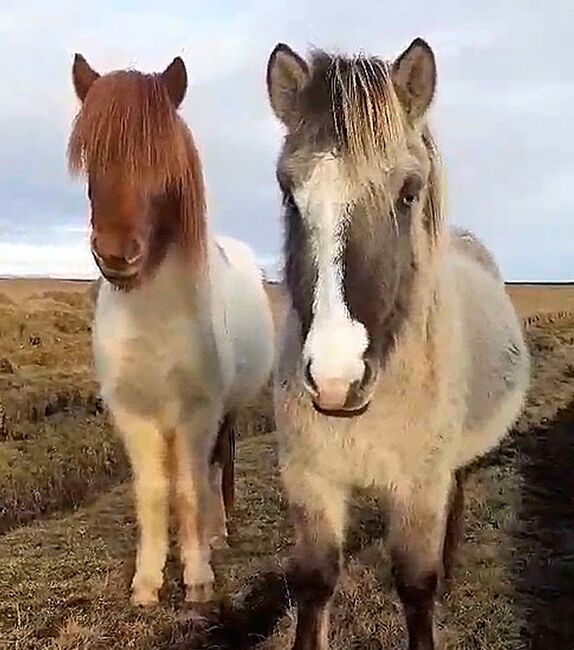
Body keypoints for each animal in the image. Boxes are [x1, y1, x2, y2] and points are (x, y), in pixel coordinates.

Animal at [68, 54, 275, 606]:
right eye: (91, 154)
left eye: (162, 159)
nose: (116, 256)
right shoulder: (133, 415)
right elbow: (153, 492)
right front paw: (147, 580)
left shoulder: (197, 412)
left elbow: (188, 487)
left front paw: (198, 575)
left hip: (226, 409)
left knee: (217, 464)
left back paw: (218, 532)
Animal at [266, 37, 530, 649]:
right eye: (288, 193)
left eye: (409, 192)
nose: (335, 376)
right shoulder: (310, 483)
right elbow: (314, 586)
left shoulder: (418, 489)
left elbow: (415, 587)